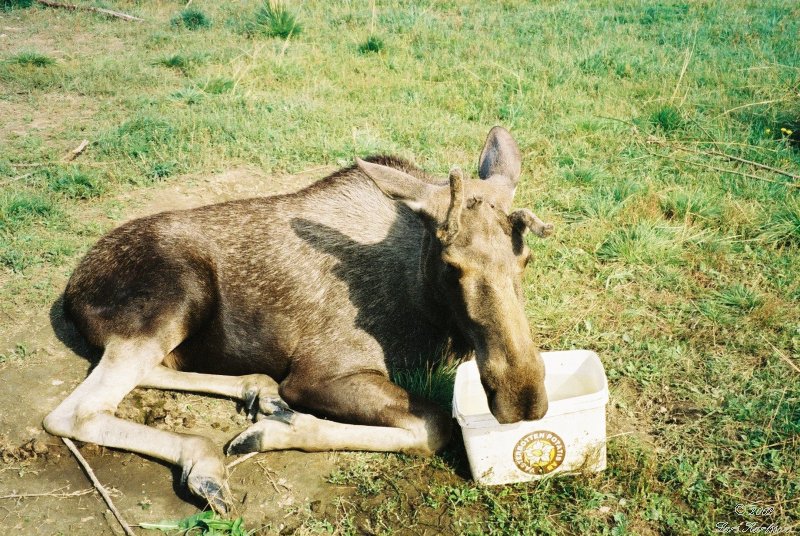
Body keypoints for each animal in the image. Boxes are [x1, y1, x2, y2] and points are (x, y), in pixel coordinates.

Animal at [43, 124, 552, 510]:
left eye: (525, 259)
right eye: (451, 265)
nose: (523, 398)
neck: (427, 306)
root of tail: (72, 292)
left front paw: (272, 420)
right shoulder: (319, 374)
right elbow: (432, 425)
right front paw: (269, 434)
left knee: (147, 372)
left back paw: (258, 389)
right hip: (177, 298)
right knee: (76, 410)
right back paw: (206, 459)